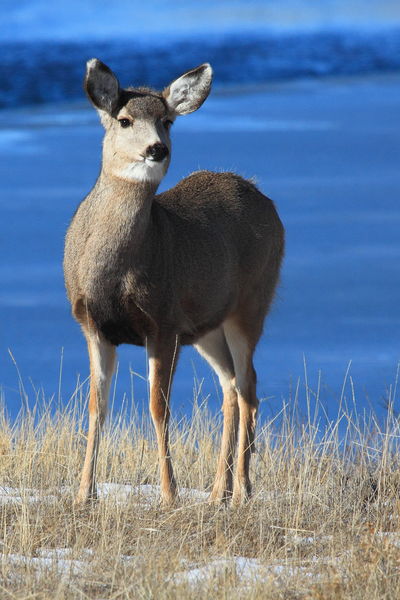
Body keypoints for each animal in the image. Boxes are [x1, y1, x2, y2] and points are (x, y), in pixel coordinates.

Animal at [65, 58, 284, 506]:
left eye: (167, 121)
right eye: (125, 119)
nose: (157, 148)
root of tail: (267, 202)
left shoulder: (163, 322)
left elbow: (157, 407)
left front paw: (169, 493)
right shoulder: (93, 324)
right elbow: (97, 406)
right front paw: (83, 493)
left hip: (251, 304)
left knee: (249, 387)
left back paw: (242, 489)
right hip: (207, 327)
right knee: (231, 387)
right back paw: (218, 491)